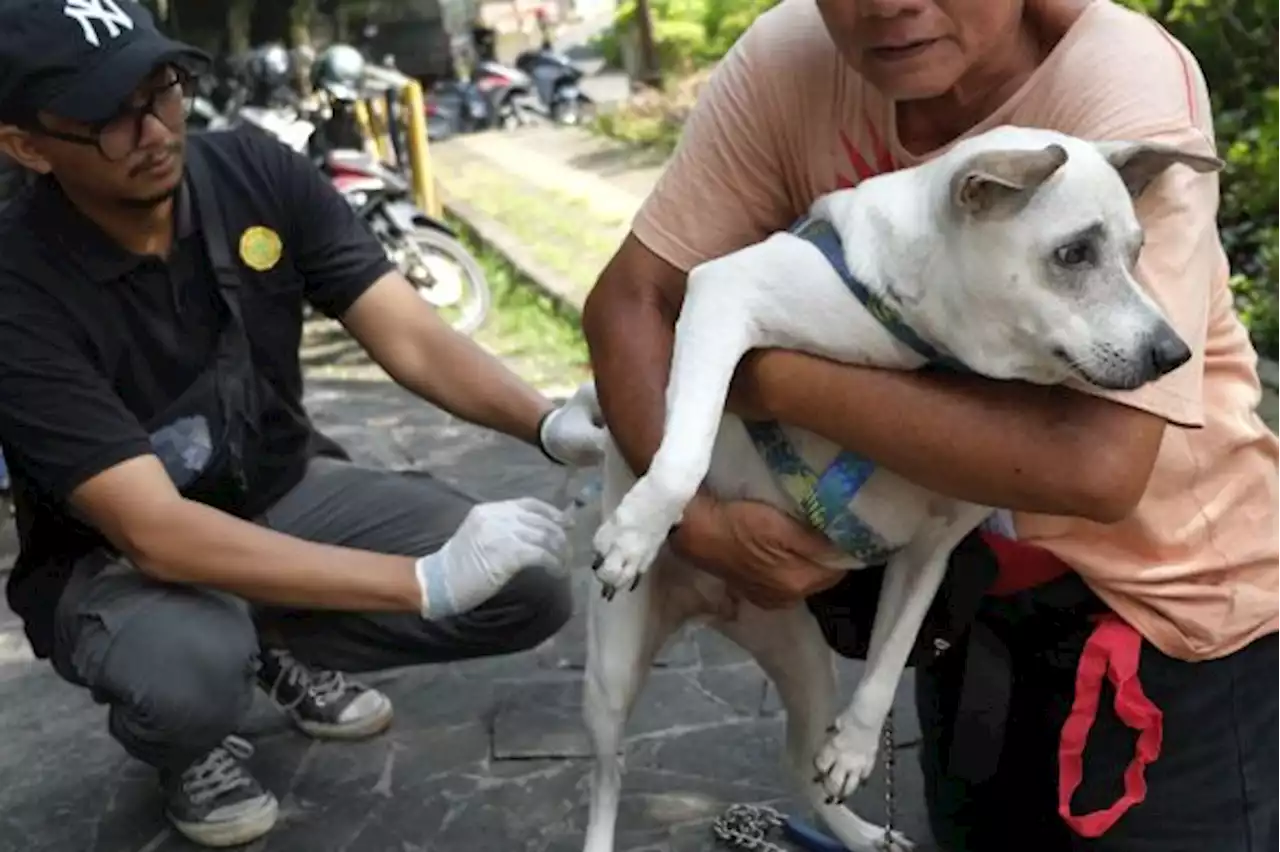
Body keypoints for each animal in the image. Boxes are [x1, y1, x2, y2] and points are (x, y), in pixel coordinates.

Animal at [581, 120, 1218, 849]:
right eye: (1073, 252)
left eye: (1138, 252)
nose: (1174, 354)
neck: (920, 333)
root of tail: (712, 605)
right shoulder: (725, 293)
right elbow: (687, 447)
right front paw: (638, 530)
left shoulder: (929, 551)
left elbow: (890, 656)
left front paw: (856, 748)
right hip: (612, 673)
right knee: (607, 775)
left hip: (804, 659)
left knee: (798, 761)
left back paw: (859, 833)